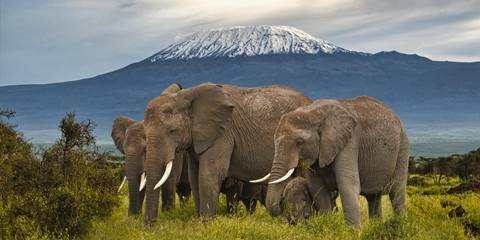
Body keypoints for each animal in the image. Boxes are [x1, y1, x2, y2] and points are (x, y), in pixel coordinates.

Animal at [142, 82, 314, 223]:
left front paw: (207, 224)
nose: (149, 225)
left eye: (172, 131)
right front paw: (200, 223)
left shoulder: (223, 134)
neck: (189, 96)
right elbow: (194, 176)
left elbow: (208, 174)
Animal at [262, 96, 408, 227]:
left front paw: (352, 233)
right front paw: (327, 226)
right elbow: (318, 188)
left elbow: (347, 185)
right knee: (373, 197)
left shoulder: (349, 142)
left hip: (402, 148)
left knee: (397, 193)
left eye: (299, 143)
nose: (282, 201)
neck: (314, 112)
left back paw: (402, 225)